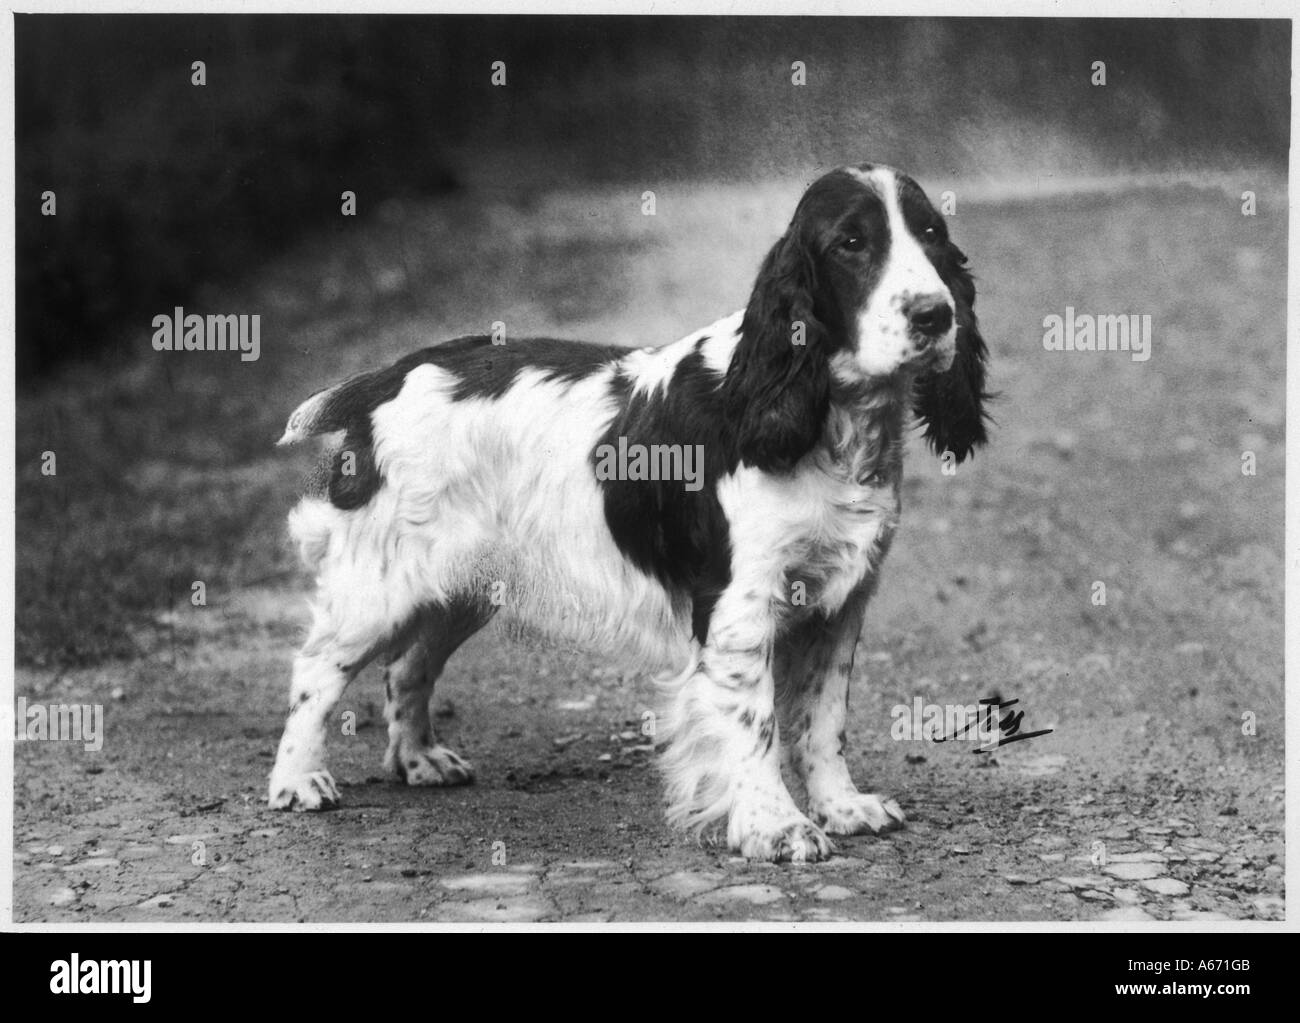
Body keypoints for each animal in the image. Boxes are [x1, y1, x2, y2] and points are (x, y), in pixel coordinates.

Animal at [269, 161, 987, 863]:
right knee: (317, 668)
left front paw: (843, 806)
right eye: (851, 243)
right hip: (380, 584)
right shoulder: (740, 606)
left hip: (461, 587)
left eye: (931, 234)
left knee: (408, 666)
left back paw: (420, 759)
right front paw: (774, 827)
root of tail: (391, 377)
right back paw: (298, 781)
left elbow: (824, 718)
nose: (935, 315)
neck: (823, 416)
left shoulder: (840, 605)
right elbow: (756, 724)